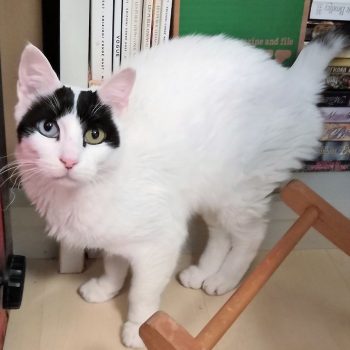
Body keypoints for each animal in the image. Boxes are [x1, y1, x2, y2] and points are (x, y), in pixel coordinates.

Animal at [13, 32, 348, 348]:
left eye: (94, 136)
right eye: (48, 128)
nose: (68, 160)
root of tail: (291, 82)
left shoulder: (161, 241)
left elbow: (143, 293)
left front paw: (139, 328)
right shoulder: (117, 233)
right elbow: (114, 262)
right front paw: (107, 288)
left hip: (239, 194)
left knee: (251, 235)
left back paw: (224, 278)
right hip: (211, 191)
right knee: (220, 233)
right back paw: (202, 272)